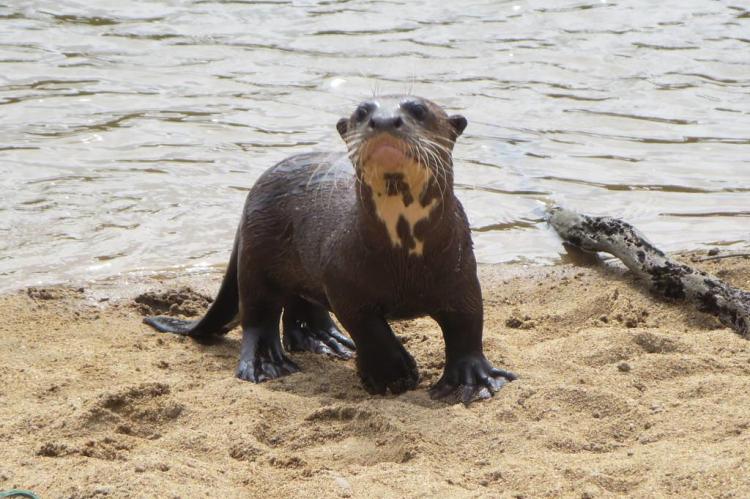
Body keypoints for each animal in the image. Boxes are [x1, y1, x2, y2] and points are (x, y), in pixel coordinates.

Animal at [145, 95, 516, 404]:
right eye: (362, 112)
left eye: (418, 109)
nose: (384, 120)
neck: (404, 260)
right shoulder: (343, 280)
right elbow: (368, 328)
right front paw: (392, 373)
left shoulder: (462, 275)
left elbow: (468, 324)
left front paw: (471, 382)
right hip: (255, 255)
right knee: (258, 315)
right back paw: (268, 364)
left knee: (301, 301)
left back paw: (325, 340)